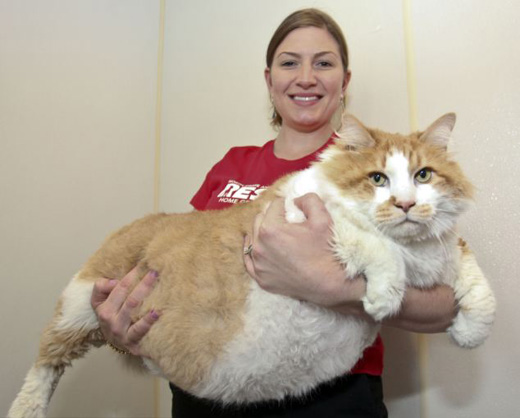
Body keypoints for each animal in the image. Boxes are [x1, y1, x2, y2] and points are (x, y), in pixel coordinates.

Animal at [8, 112, 496, 416]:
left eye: (423, 175)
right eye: (378, 178)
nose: (407, 204)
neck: (416, 252)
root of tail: (146, 218)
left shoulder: (443, 251)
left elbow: (473, 276)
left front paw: (470, 330)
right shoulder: (302, 219)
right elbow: (372, 240)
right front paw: (384, 293)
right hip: (79, 307)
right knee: (46, 363)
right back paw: (25, 408)